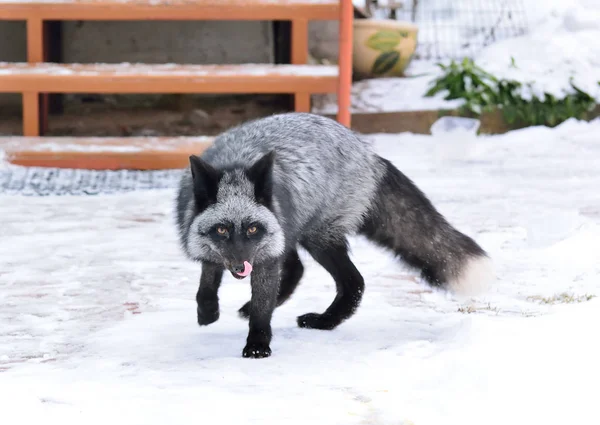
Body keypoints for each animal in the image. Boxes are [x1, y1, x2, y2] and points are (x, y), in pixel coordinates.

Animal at [173, 112, 492, 358]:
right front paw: (208, 312)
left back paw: (324, 322)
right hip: (294, 232)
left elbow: (263, 308)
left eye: (252, 228)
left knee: (353, 281)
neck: (235, 164)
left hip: (317, 238)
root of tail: (370, 153)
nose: (241, 267)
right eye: (222, 229)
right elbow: (207, 280)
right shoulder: (219, 248)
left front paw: (257, 344)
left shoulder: (265, 255)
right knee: (298, 269)